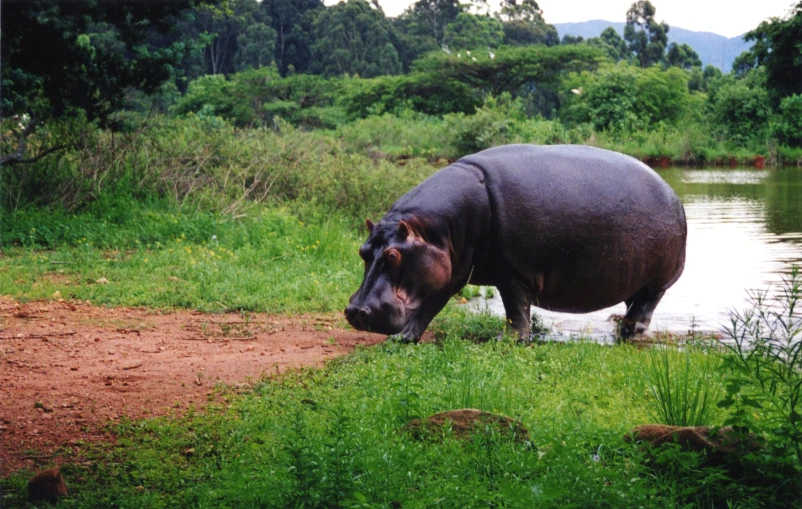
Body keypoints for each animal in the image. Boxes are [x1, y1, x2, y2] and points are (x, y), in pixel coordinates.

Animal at [340, 143, 684, 342]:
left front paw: (507, 341)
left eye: (394, 255)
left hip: (660, 278)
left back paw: (630, 330)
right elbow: (430, 305)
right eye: (362, 251)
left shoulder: (514, 273)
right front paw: (402, 339)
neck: (436, 230)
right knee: (634, 301)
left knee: (647, 303)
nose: (355, 311)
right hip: (634, 275)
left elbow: (515, 309)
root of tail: (674, 195)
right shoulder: (451, 270)